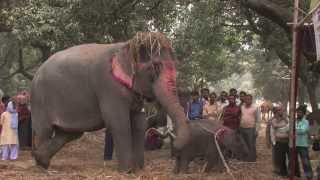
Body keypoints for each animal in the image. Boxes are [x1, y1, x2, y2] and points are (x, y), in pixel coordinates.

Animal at [30, 32, 190, 172]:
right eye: (155, 67)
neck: (127, 46)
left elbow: (139, 122)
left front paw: (139, 170)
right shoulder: (108, 86)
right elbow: (118, 122)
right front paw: (127, 171)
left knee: (69, 134)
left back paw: (41, 160)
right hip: (39, 100)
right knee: (44, 131)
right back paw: (41, 168)